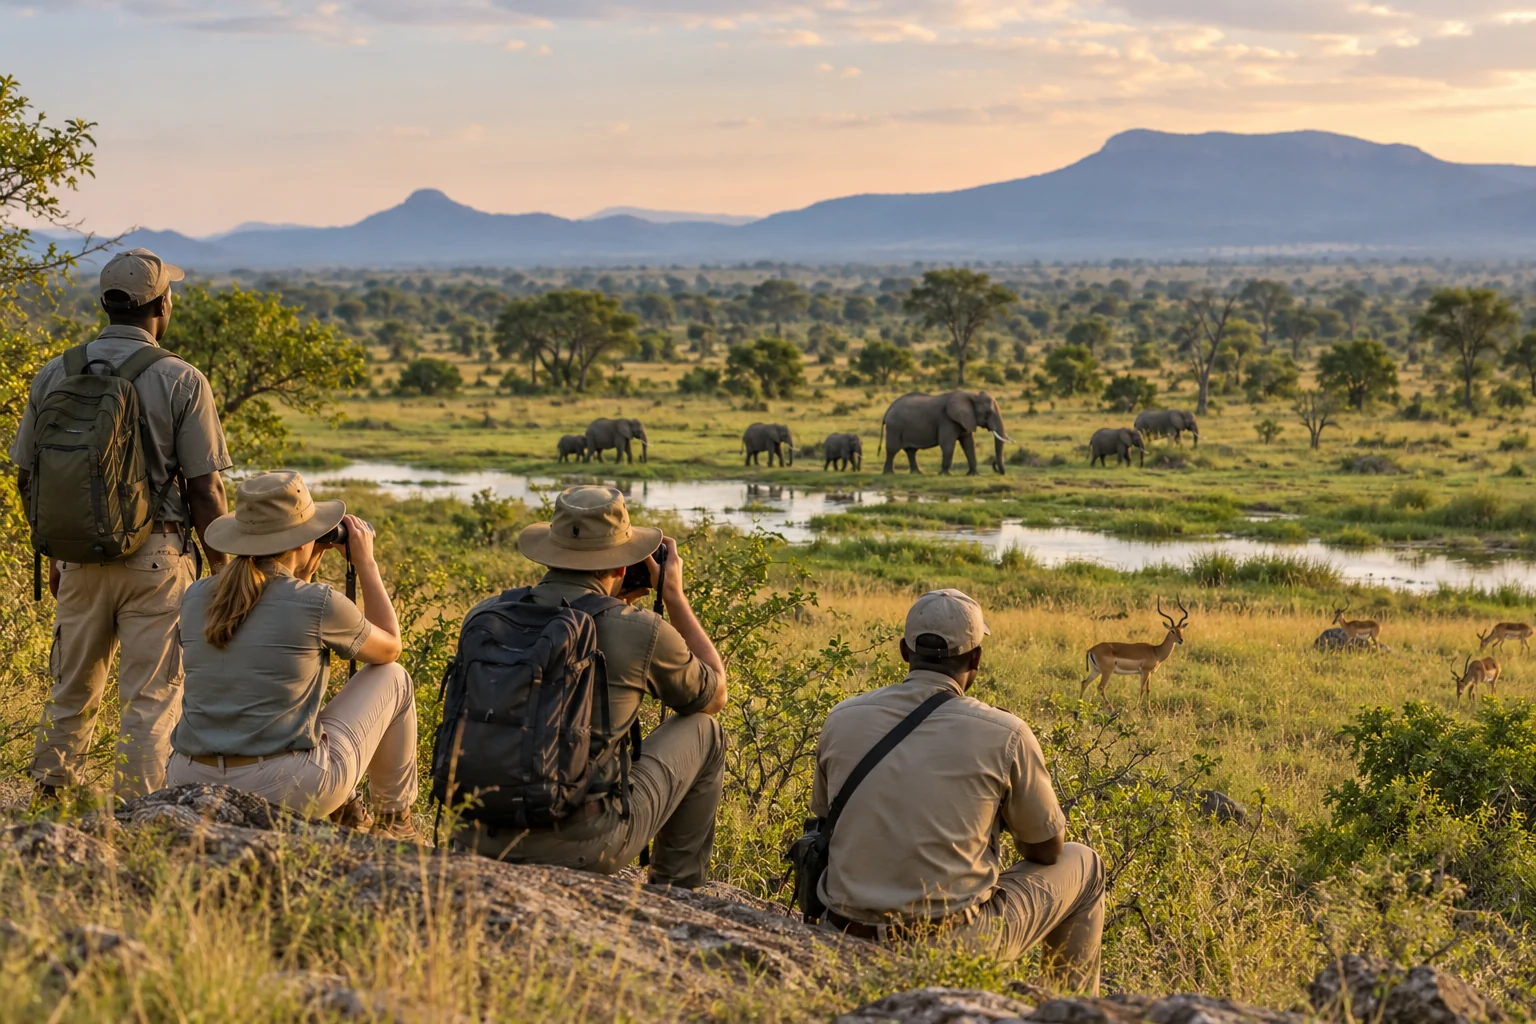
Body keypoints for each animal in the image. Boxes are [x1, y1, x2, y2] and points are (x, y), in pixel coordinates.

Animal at [879, 391, 1011, 475]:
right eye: (988, 413)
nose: (995, 465)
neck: (972, 395)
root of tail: (888, 409)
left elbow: (968, 444)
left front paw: (972, 474)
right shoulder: (947, 420)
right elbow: (947, 444)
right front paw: (945, 474)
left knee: (911, 450)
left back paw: (917, 473)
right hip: (894, 427)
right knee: (892, 449)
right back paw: (889, 474)